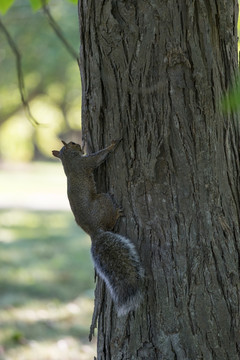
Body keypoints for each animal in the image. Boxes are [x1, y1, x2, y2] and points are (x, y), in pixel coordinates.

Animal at [52, 139, 144, 316]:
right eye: (72, 143)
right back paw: (117, 213)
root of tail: (94, 232)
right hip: (105, 199)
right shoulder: (85, 163)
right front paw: (112, 145)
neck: (68, 161)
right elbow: (97, 158)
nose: (79, 144)